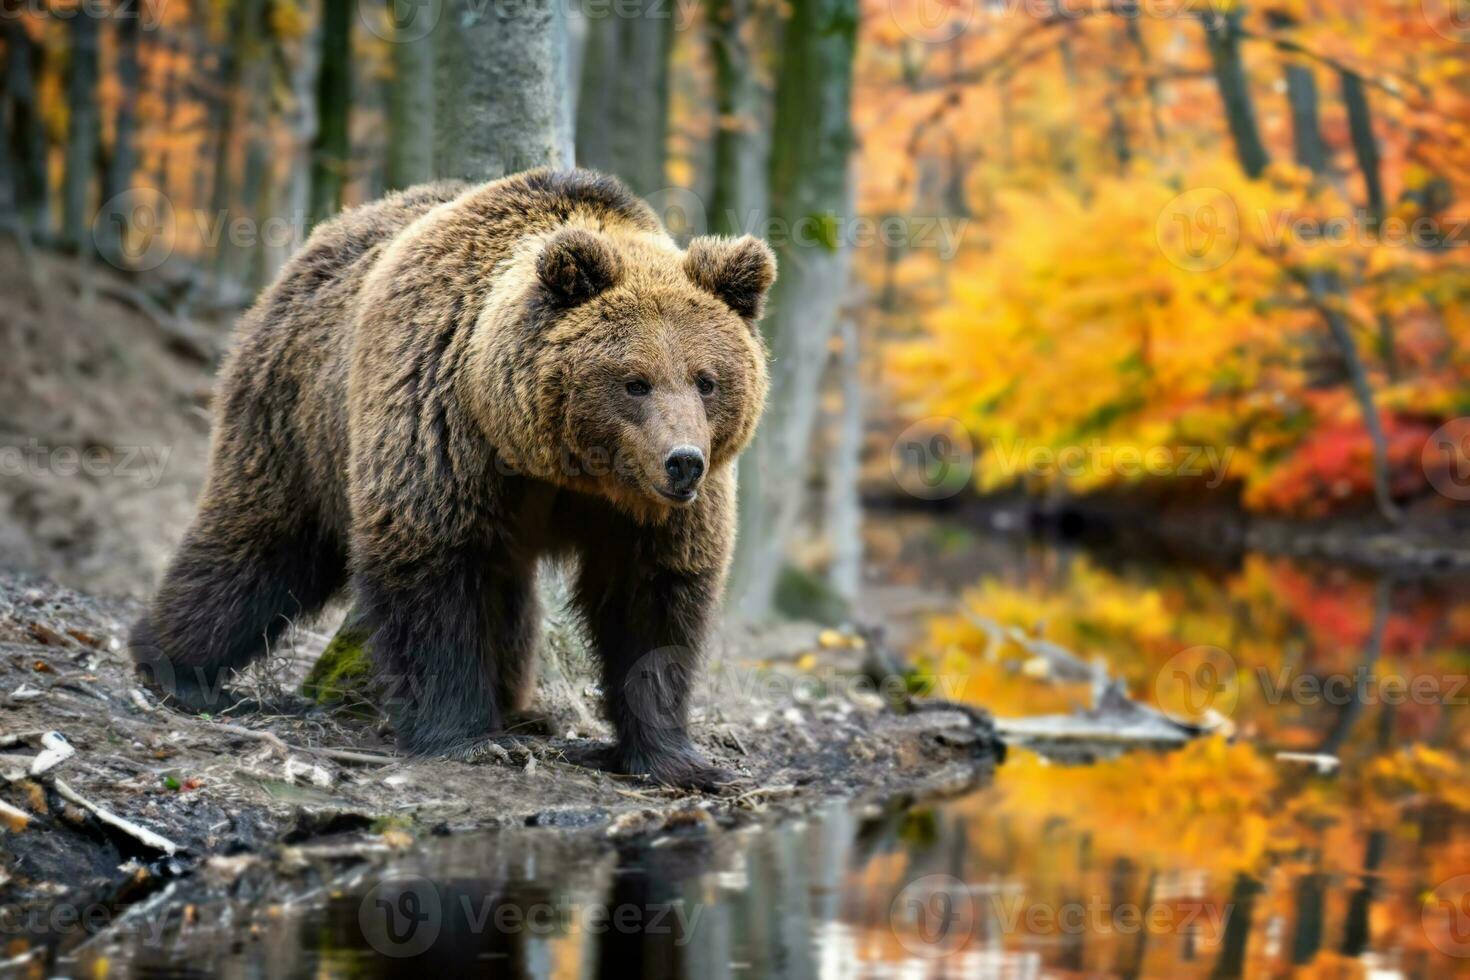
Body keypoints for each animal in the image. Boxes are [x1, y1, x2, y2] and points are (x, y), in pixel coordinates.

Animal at [130, 170, 776, 787]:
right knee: (262, 542)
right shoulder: (441, 427)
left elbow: (652, 602)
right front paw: (466, 736)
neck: (562, 465)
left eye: (706, 380)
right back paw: (173, 664)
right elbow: (432, 575)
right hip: (297, 415)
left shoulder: (649, 512)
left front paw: (676, 758)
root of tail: (316, 244)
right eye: (635, 381)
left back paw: (520, 708)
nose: (683, 460)